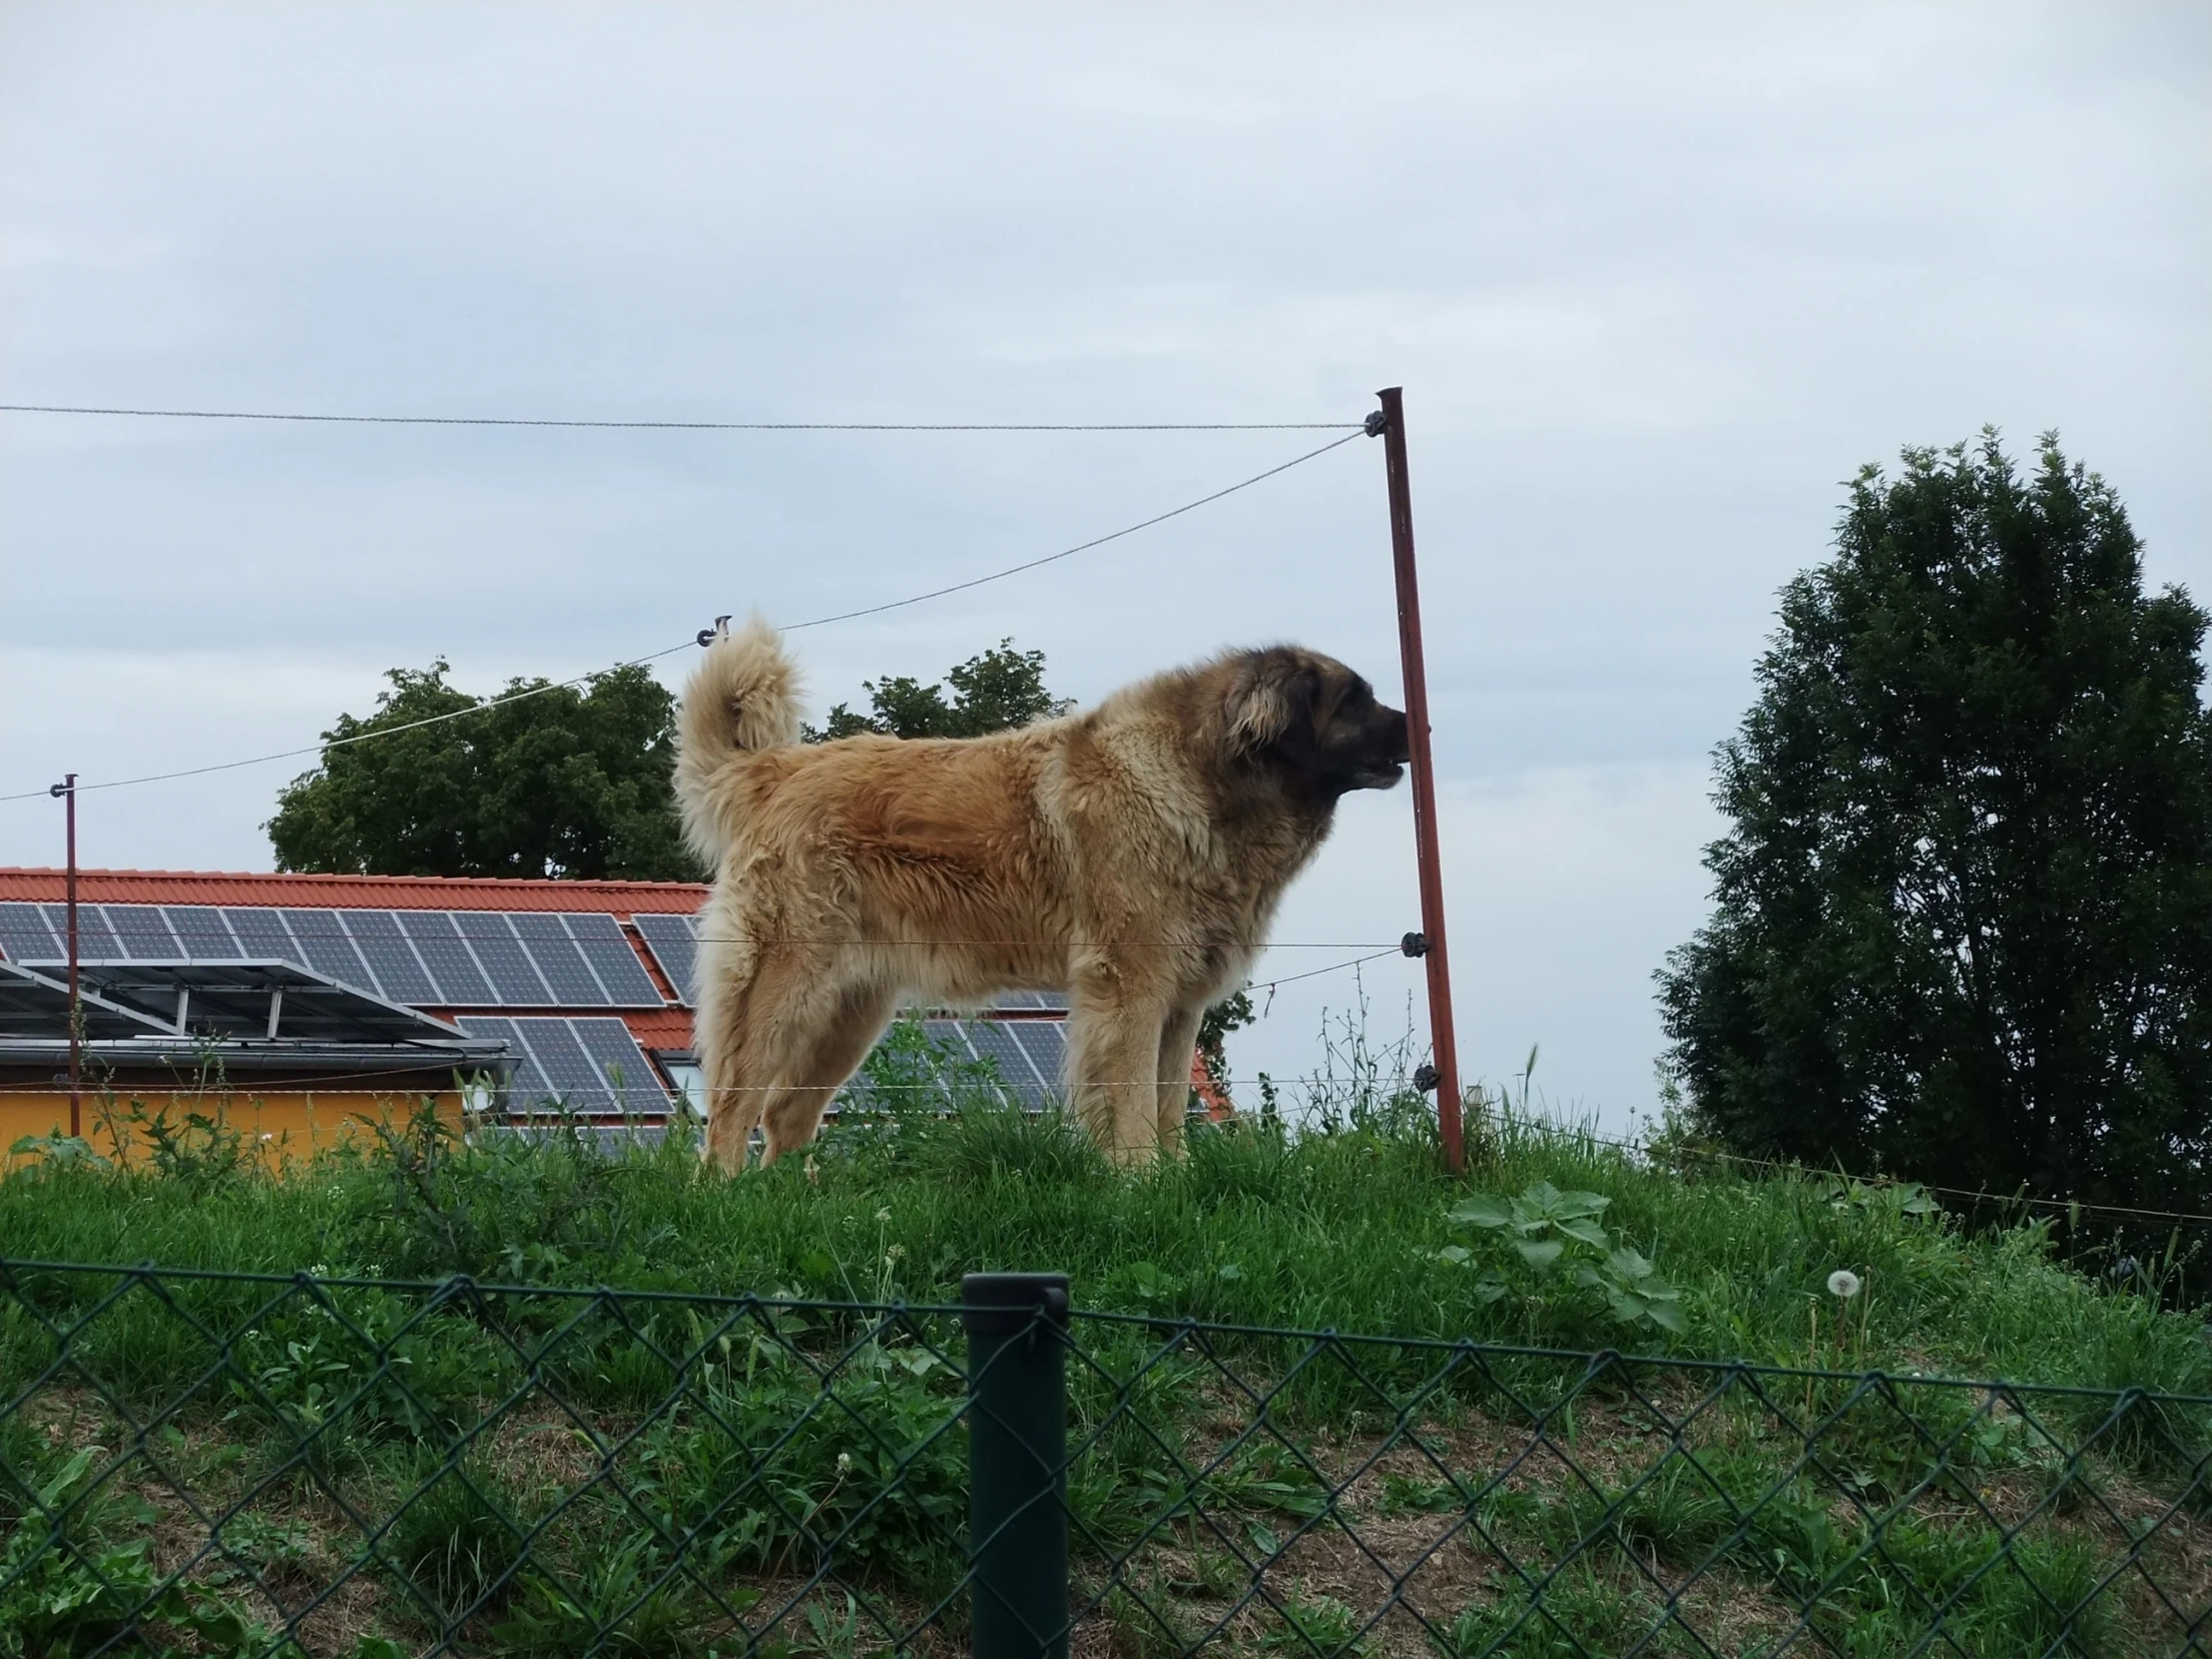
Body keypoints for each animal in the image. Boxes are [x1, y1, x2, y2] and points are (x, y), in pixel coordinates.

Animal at [663, 619, 1415, 1176]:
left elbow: (1171, 1101)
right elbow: (1133, 1097)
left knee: (784, 1116)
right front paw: (1141, 1181)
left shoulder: (1179, 1003)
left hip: (851, 1010)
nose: (1420, 724)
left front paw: (1178, 1181)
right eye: (1352, 702)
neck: (1208, 779)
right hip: (787, 982)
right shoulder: (1131, 985)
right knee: (733, 1102)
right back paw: (727, 1199)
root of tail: (775, 768)